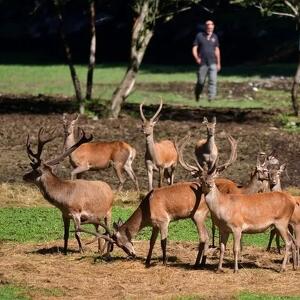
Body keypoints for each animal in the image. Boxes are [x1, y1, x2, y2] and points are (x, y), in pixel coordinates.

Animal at [178, 137, 298, 274]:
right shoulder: (224, 229)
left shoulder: (237, 226)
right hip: (284, 223)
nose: (209, 184)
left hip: (281, 221)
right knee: (292, 241)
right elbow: (223, 248)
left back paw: (282, 268)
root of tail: (291, 200)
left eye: (213, 176)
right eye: (201, 177)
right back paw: (292, 266)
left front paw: (236, 269)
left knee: (288, 242)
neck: (223, 208)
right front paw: (219, 268)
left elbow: (235, 248)